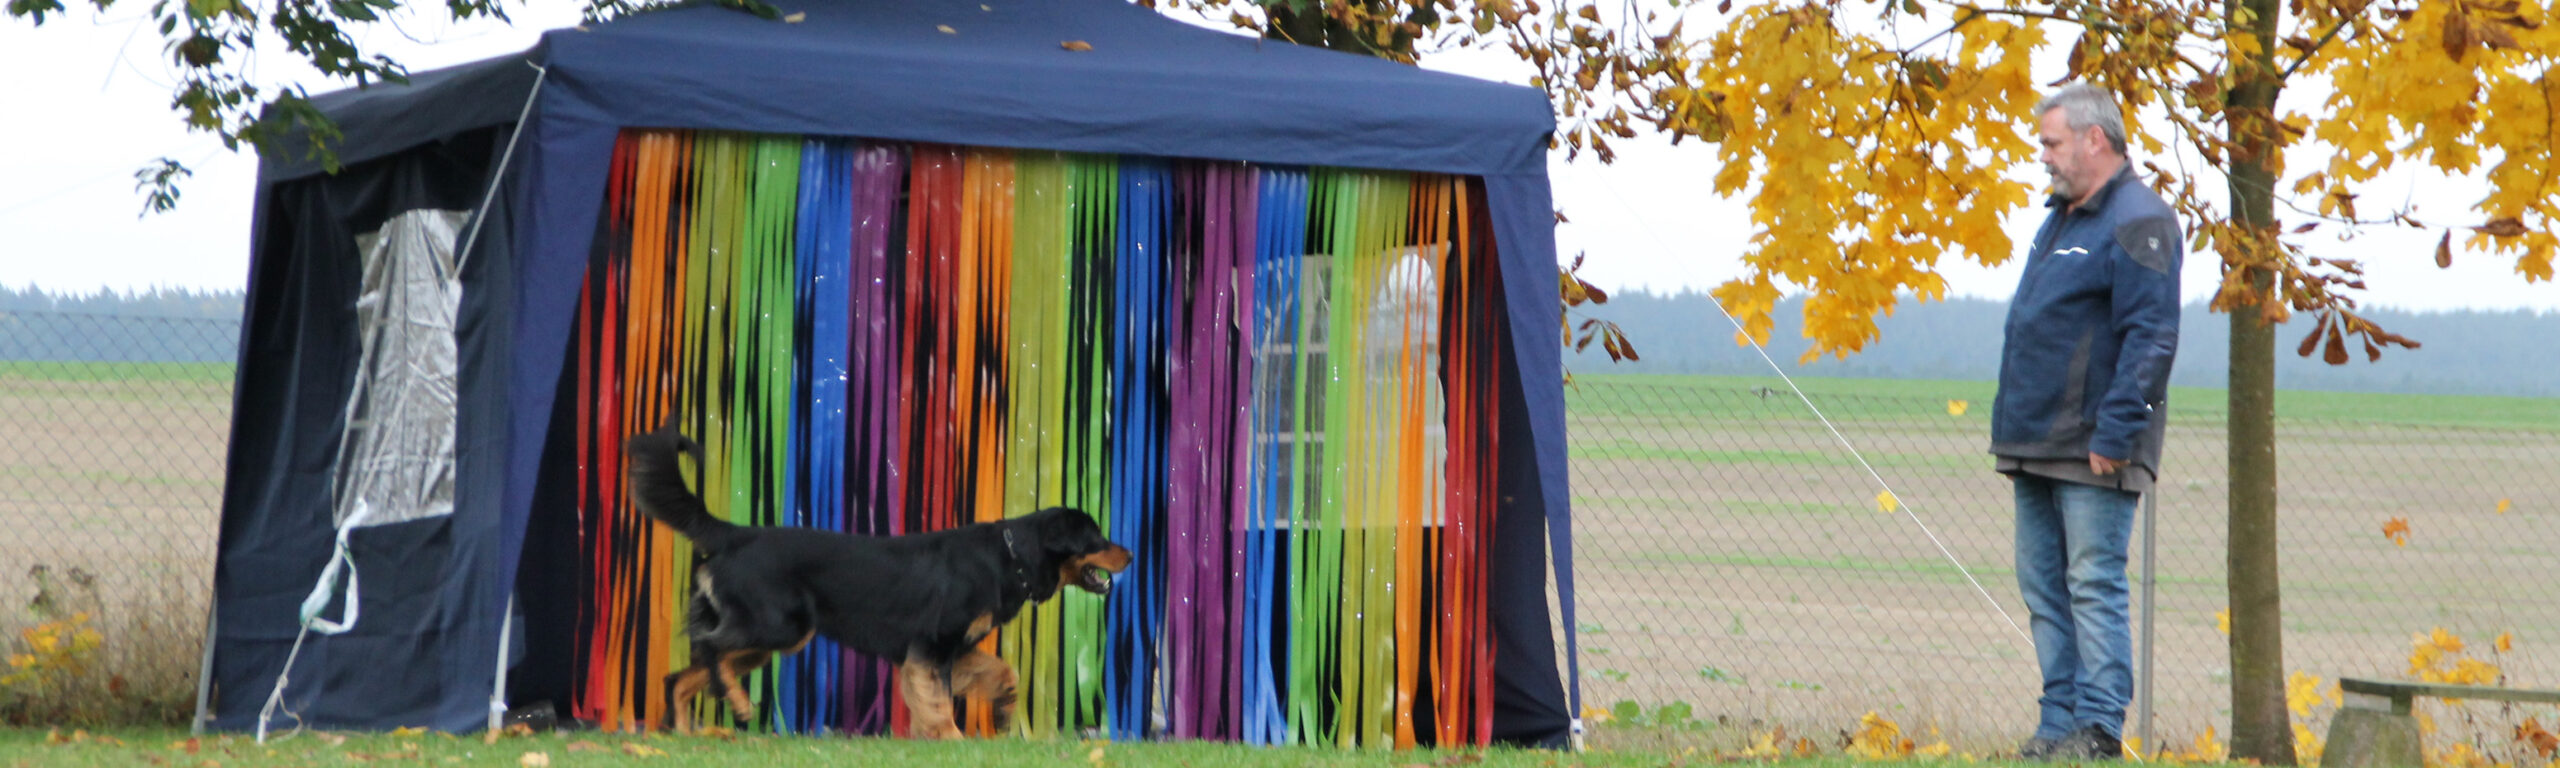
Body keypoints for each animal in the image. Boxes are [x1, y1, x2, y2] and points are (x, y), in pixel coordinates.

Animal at [622, 425, 1133, 737]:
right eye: (1096, 536)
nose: (1130, 552)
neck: (1010, 555)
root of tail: (736, 533)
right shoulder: (933, 645)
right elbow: (938, 702)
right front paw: (951, 739)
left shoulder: (950, 648)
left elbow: (1001, 672)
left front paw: (1004, 709)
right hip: (776, 626)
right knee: (710, 650)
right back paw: (740, 705)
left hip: (769, 638)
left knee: (678, 678)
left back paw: (685, 735)